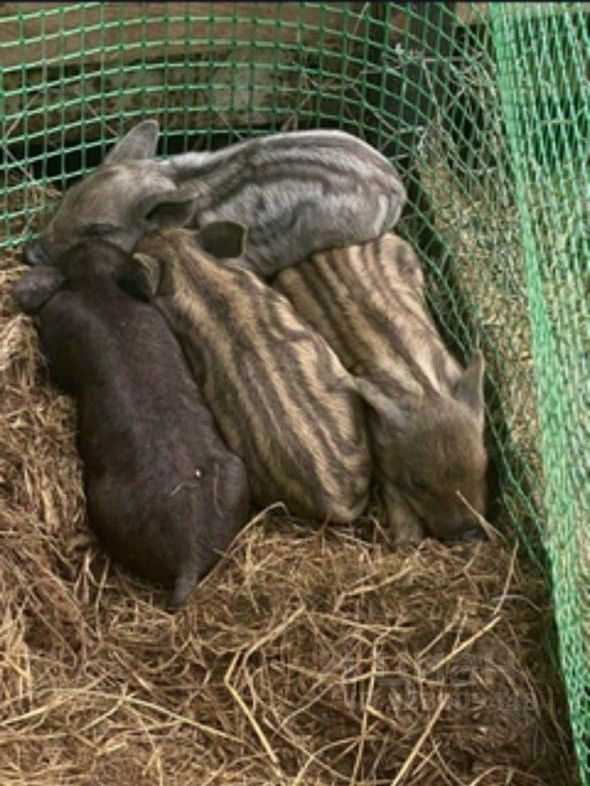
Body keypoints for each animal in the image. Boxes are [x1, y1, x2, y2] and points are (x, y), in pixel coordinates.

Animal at [274, 233, 488, 544]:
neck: (426, 391)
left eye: (484, 464)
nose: (467, 535)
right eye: (418, 482)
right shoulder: (382, 451)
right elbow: (394, 496)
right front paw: (406, 540)